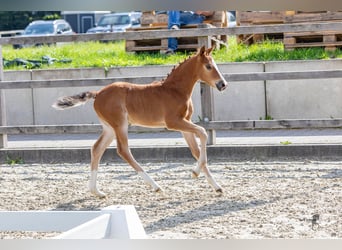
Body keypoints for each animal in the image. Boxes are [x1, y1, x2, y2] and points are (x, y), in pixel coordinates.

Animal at [53, 46, 228, 196]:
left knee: (97, 149)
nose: (223, 84)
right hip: (120, 125)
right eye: (208, 66)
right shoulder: (173, 122)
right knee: (123, 150)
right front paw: (194, 172)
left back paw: (96, 191)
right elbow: (203, 132)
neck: (175, 90)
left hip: (109, 128)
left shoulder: (184, 124)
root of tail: (98, 93)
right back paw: (155, 185)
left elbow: (195, 150)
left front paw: (216, 186)